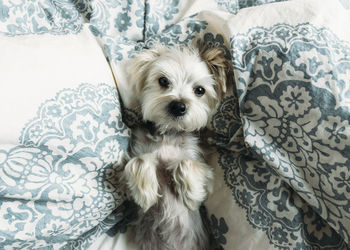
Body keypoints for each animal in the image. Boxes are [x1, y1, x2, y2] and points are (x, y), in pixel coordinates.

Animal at [121, 44, 230, 249]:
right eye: (163, 81)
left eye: (200, 90)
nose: (178, 106)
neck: (167, 133)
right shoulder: (128, 177)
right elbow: (138, 161)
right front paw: (146, 194)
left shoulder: (205, 171)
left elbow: (186, 163)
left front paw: (192, 195)